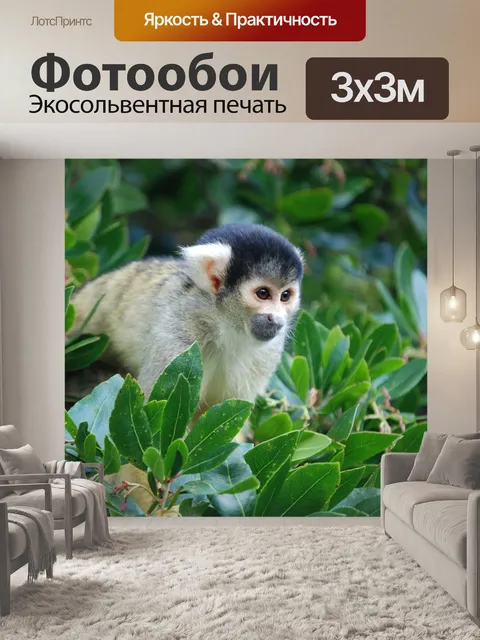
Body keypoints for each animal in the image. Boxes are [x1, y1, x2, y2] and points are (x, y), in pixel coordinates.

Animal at [69, 223, 304, 417]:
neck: (224, 326)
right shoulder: (181, 338)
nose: (276, 319)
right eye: (263, 293)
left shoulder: (267, 354)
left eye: (285, 296)